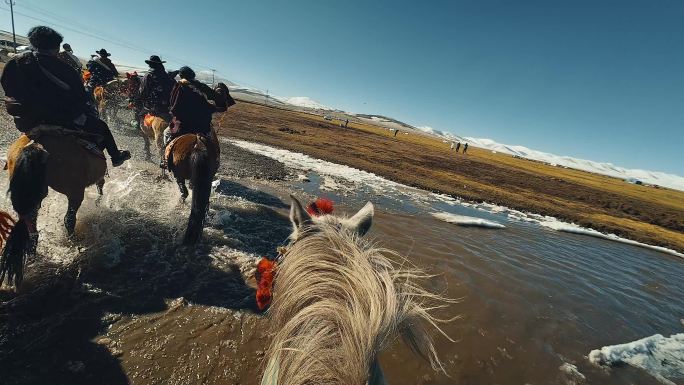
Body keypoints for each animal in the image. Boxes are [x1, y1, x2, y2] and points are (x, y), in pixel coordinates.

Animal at [0, 126, 106, 284]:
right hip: (75, 191)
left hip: (32, 195)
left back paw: (32, 257)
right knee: (69, 219)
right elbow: (100, 185)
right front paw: (99, 202)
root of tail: (35, 145)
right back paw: (74, 242)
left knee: (31, 227)